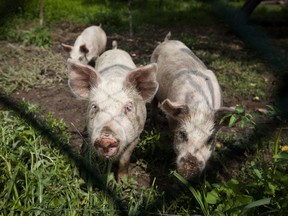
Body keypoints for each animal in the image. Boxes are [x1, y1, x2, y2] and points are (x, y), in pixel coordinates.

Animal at [66, 43, 159, 181]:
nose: (106, 139)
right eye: (94, 106)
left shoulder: (136, 135)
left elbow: (124, 160)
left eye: (128, 107)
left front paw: (122, 182)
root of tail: (115, 49)